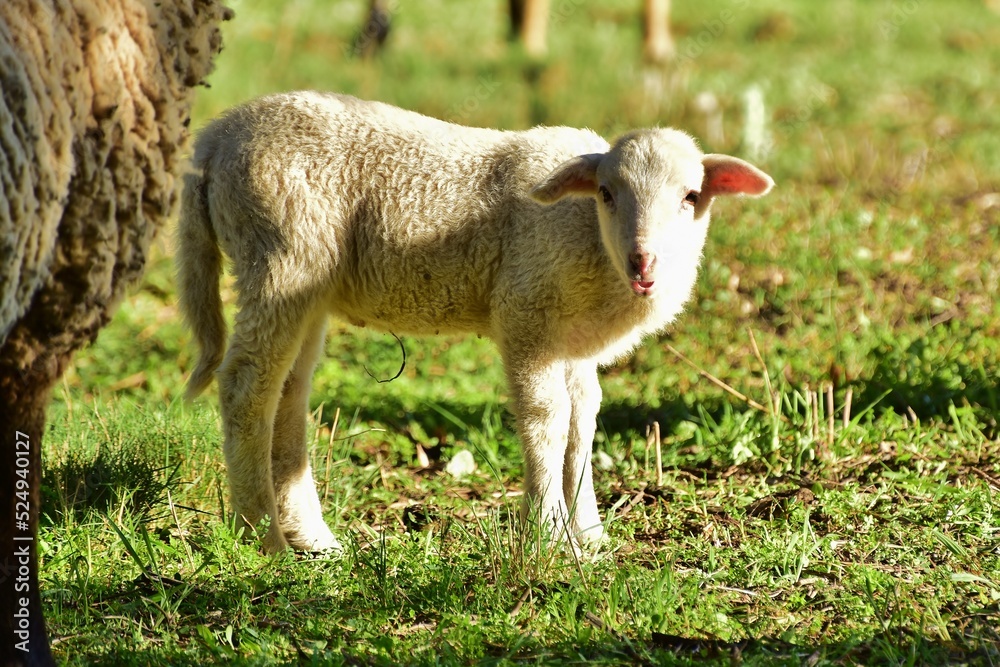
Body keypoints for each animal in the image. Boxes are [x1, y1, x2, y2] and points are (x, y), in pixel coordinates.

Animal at [177, 91, 773, 554]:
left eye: (691, 196)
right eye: (606, 193)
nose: (643, 262)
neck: (588, 237)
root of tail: (215, 138)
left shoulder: (573, 341)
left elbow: (584, 421)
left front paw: (590, 533)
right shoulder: (526, 312)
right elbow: (548, 419)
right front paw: (550, 534)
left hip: (308, 285)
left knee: (288, 393)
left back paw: (311, 537)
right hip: (279, 251)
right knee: (247, 385)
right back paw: (263, 537)